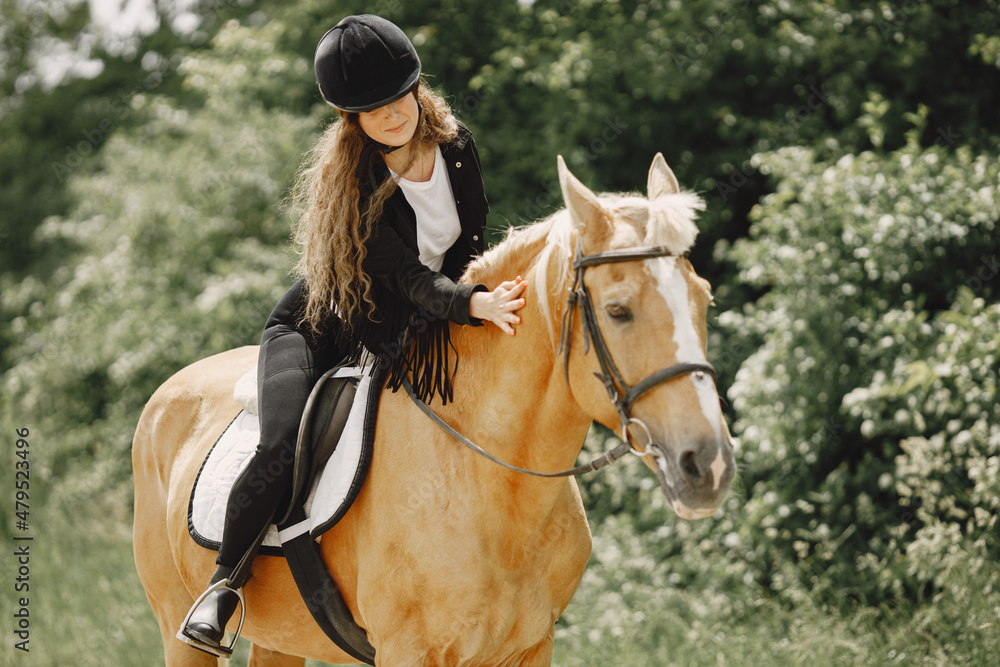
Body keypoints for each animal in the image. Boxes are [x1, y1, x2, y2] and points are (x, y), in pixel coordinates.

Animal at [132, 154, 736, 666]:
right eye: (617, 310)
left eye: (704, 299)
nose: (707, 465)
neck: (491, 482)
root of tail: (168, 393)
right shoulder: (409, 651)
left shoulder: (529, 648)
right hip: (178, 630)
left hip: (279, 640)